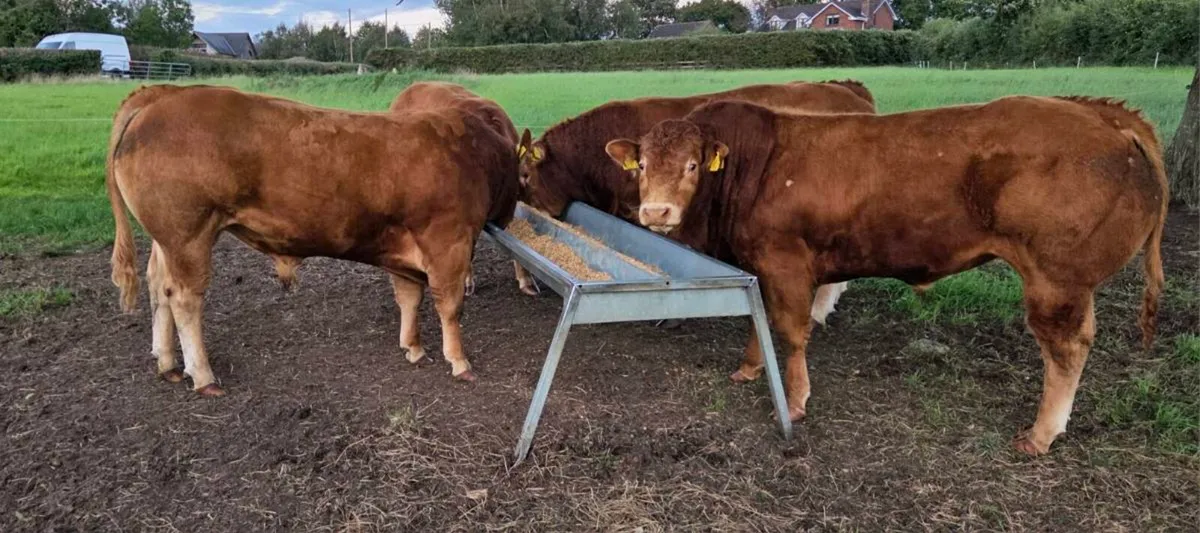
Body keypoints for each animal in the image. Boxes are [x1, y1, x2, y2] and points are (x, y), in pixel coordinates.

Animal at [106, 84, 520, 394]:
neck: (470, 150)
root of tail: (164, 94)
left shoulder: (405, 251)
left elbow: (409, 298)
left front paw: (414, 347)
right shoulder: (449, 243)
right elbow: (449, 306)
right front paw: (460, 361)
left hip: (166, 240)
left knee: (158, 285)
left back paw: (167, 362)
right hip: (188, 235)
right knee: (184, 298)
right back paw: (203, 374)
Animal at [604, 96, 1168, 455]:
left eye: (693, 165)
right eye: (642, 165)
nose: (655, 212)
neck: (751, 169)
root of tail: (1100, 114)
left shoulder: (786, 261)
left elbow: (791, 332)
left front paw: (796, 399)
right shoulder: (758, 266)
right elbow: (758, 320)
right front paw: (748, 367)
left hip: (1056, 279)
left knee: (1066, 350)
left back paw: (1041, 434)